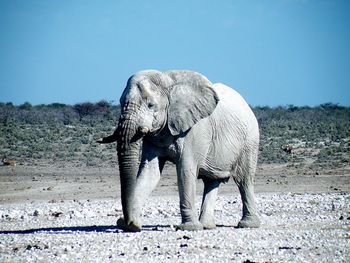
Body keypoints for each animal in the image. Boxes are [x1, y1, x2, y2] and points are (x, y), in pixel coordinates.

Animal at [98, 70, 260, 233]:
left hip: (249, 141)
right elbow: (149, 172)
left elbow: (185, 170)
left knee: (243, 180)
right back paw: (206, 226)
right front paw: (131, 225)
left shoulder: (194, 130)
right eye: (120, 102)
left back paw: (247, 224)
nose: (127, 221)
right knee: (212, 182)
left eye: (151, 105)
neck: (168, 81)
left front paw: (189, 228)